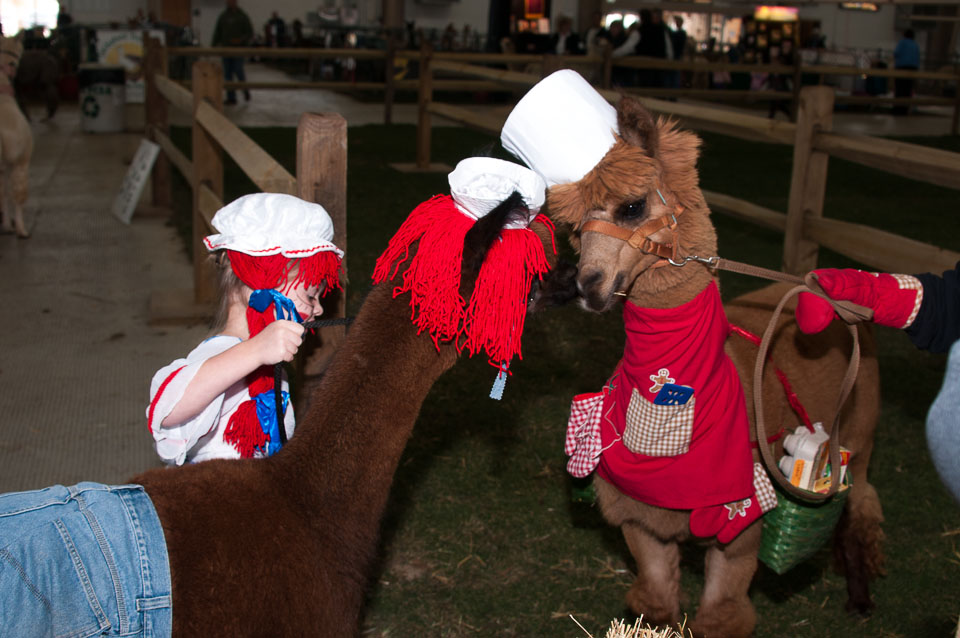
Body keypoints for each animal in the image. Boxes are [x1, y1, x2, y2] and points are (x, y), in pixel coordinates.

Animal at [512, 92, 883, 637]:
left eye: (632, 206)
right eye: (574, 229)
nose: (585, 286)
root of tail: (827, 290)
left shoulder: (740, 525)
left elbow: (720, 618)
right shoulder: (641, 518)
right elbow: (657, 604)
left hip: (856, 433)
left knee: (860, 507)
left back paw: (860, 599)